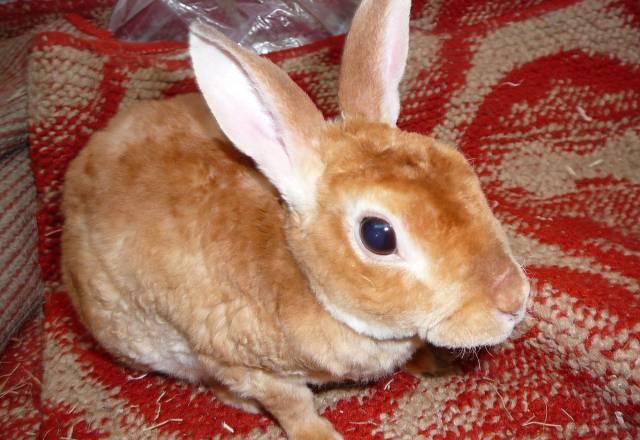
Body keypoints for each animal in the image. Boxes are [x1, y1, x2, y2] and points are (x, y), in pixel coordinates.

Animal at [61, 0, 530, 438]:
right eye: (378, 235)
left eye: (460, 167)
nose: (514, 299)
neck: (304, 273)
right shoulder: (249, 369)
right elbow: (292, 407)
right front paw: (322, 435)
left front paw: (431, 362)